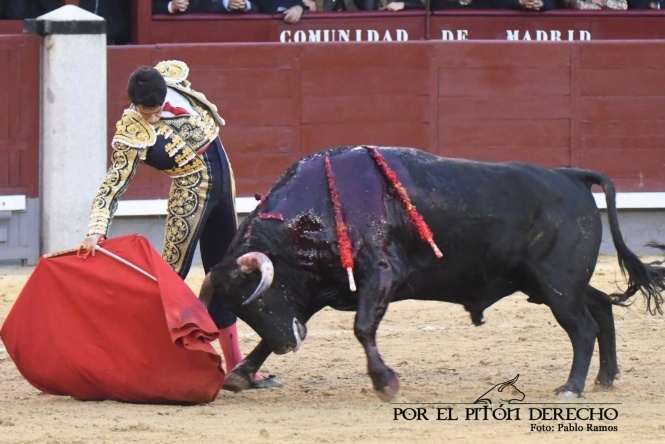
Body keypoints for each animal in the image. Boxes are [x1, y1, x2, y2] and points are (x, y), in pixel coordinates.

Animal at [200, 147, 660, 402]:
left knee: (582, 327)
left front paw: (385, 383)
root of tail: (570, 175)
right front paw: (241, 375)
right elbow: (281, 332)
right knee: (601, 307)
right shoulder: (319, 290)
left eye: (258, 297)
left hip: (556, 284)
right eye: (243, 309)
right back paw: (605, 378)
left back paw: (572, 387)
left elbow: (363, 327)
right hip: (551, 283)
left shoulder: (381, 274)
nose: (288, 347)